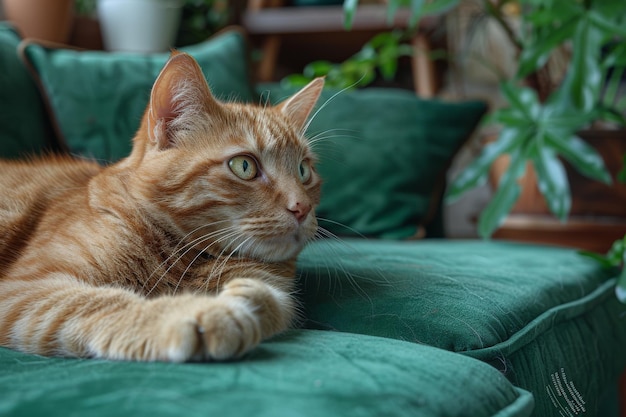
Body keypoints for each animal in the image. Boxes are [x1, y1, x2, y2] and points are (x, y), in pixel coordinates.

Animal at [0, 51, 322, 360]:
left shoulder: (274, 289)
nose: (301, 207)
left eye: (303, 170)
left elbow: (275, 302)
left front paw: (248, 297)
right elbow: (101, 301)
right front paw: (192, 312)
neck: (185, 256)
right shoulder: (24, 288)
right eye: (244, 166)